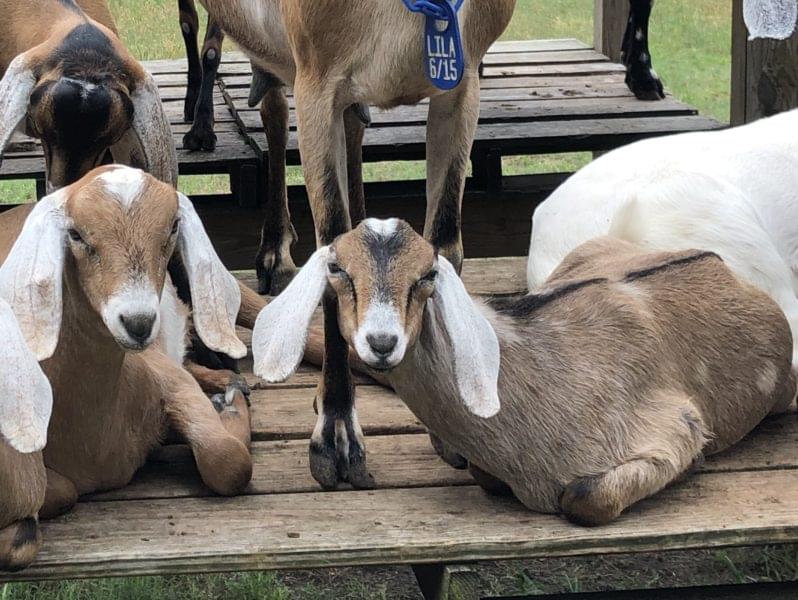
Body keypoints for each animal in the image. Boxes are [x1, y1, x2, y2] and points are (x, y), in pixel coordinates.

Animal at [0, 165, 252, 523]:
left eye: (173, 226)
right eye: (75, 234)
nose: (138, 323)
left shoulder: (170, 379)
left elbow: (229, 460)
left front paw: (229, 409)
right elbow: (59, 492)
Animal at [194, 0, 515, 490]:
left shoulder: (460, 84)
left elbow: (447, 244)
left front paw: (457, 432)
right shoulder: (316, 80)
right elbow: (331, 245)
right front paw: (336, 437)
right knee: (269, 106)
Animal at [252, 218, 794, 525]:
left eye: (428, 273)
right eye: (337, 268)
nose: (382, 342)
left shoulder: (672, 427)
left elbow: (585, 496)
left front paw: (697, 462)